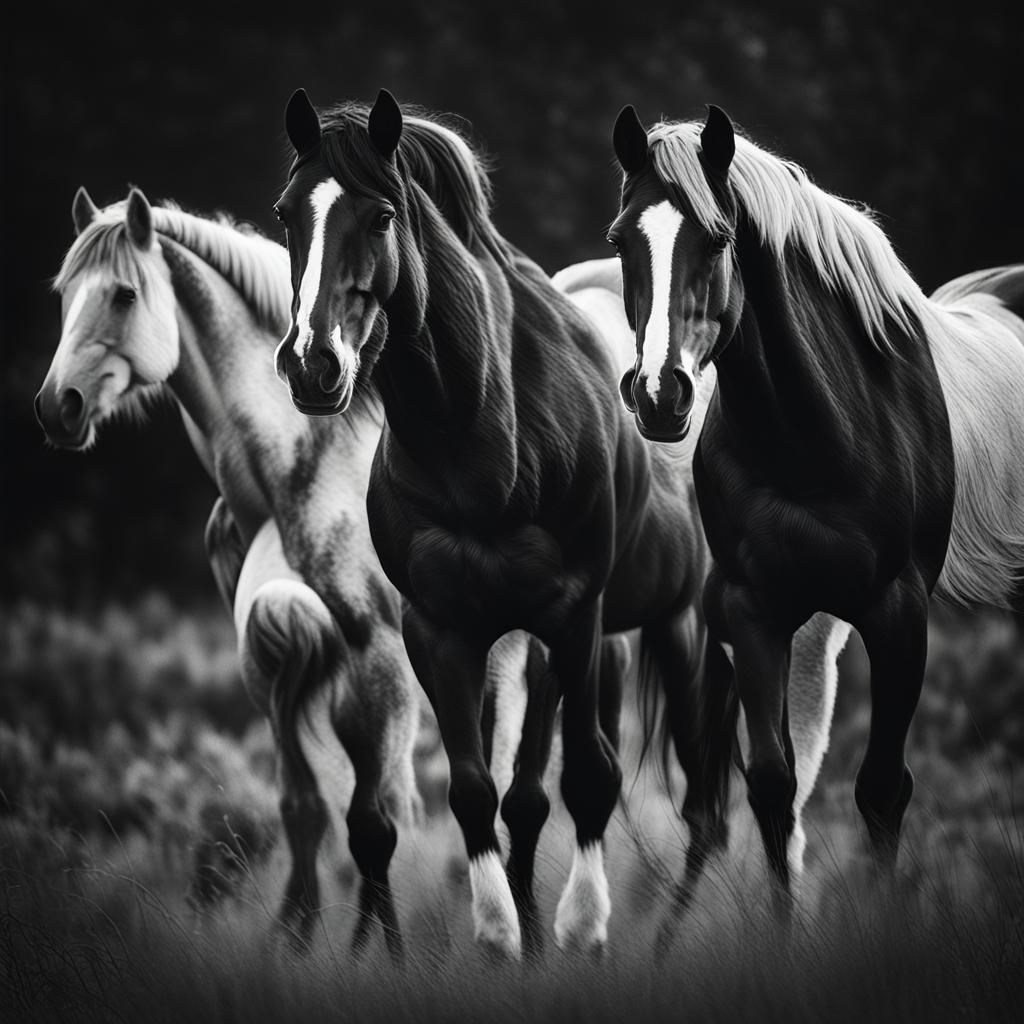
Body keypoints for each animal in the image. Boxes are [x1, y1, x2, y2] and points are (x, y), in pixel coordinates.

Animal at [34, 186, 430, 956]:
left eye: (124, 294)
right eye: (63, 295)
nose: (55, 406)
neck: (313, 466)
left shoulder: (381, 660)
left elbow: (381, 818)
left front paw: (391, 958)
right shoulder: (277, 666)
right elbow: (309, 808)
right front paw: (300, 943)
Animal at [609, 102, 1024, 911]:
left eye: (719, 237)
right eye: (620, 241)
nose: (660, 396)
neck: (821, 435)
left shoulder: (898, 615)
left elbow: (883, 790)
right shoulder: (754, 611)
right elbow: (774, 787)